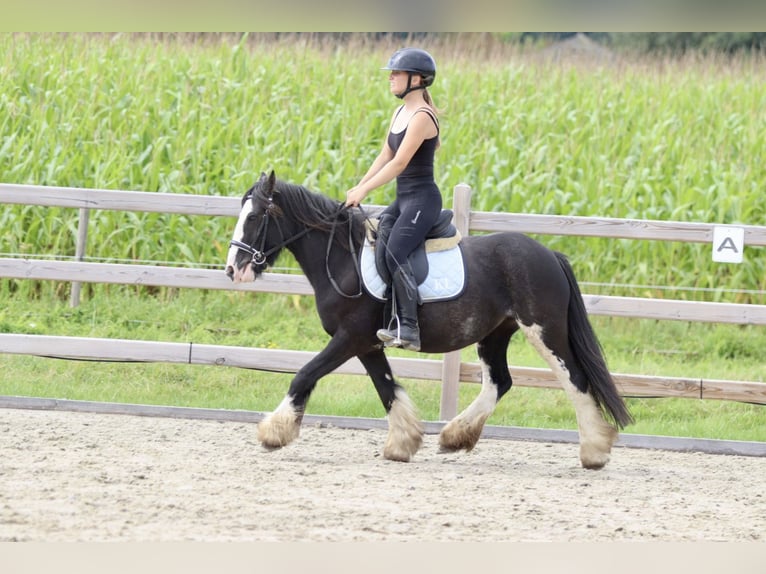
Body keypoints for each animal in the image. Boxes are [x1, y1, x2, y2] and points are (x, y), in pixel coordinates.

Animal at [225, 172, 632, 472]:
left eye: (255, 217)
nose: (233, 269)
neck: (343, 261)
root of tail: (549, 254)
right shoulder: (368, 344)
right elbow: (388, 389)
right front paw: (402, 444)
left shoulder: (349, 338)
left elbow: (305, 374)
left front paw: (274, 433)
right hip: (495, 333)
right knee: (499, 382)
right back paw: (455, 436)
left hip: (544, 330)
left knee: (574, 379)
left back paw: (594, 451)